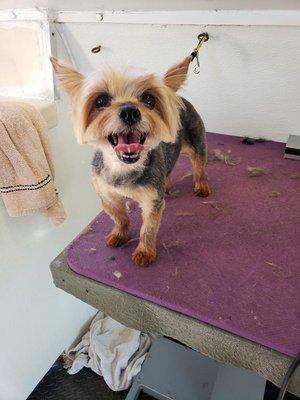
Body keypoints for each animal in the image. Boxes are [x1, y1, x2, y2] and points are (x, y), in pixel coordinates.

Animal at [51, 53, 211, 266]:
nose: (130, 111)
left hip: (195, 143)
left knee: (198, 165)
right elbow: (120, 217)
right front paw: (119, 235)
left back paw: (202, 185)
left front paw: (144, 252)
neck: (123, 168)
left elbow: (148, 228)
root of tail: (177, 97)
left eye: (149, 99)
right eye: (101, 100)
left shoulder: (152, 201)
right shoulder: (107, 195)